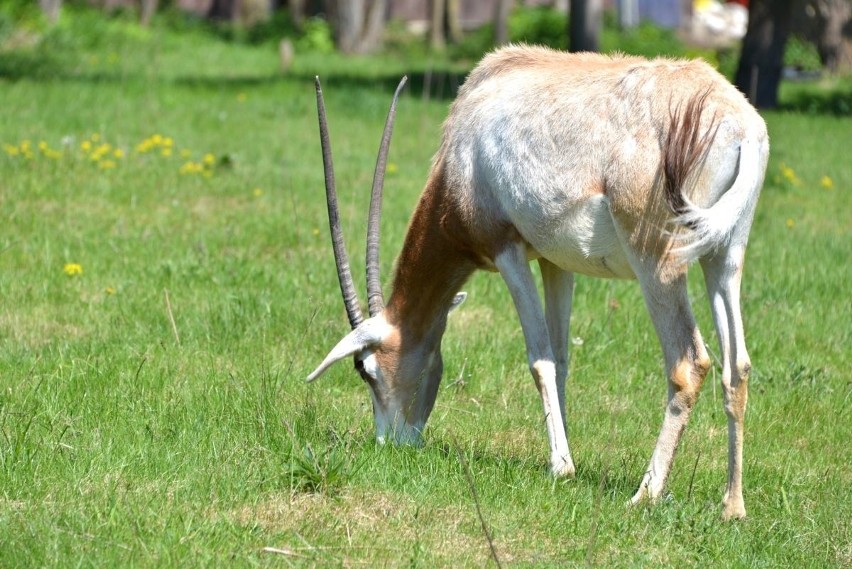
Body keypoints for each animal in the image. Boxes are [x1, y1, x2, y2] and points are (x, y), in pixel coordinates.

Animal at [310, 45, 768, 520]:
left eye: (365, 369)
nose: (391, 442)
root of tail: (738, 123)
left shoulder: (506, 250)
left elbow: (540, 359)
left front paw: (561, 466)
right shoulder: (555, 262)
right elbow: (562, 357)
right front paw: (563, 451)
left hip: (656, 262)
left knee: (689, 362)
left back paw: (646, 493)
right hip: (723, 255)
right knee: (737, 366)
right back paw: (732, 505)